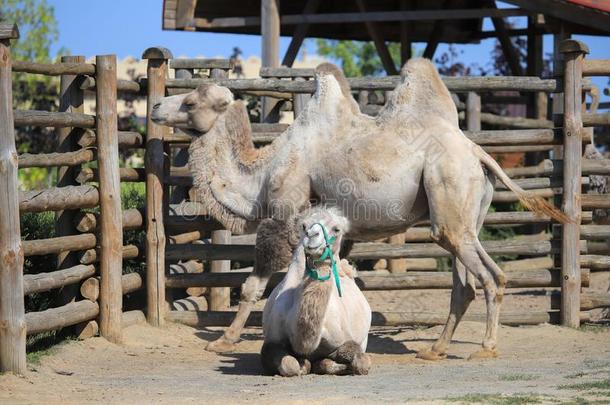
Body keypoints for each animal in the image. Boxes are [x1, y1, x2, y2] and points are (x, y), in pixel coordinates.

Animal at [150, 58, 568, 358]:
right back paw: (435, 349)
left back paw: (484, 349)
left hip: (449, 191)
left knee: (491, 277)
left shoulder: (284, 208)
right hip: (468, 216)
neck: (263, 170)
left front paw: (223, 340)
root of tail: (478, 152)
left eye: (190, 102)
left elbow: (253, 284)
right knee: (464, 283)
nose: (154, 107)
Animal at [262, 207, 370, 378]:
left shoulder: (346, 339)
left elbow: (361, 363)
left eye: (337, 229)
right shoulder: (272, 341)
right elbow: (289, 365)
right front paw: (303, 365)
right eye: (304, 226)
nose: (311, 236)